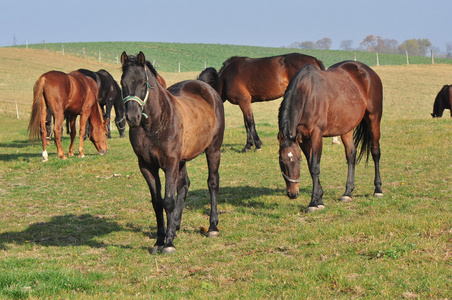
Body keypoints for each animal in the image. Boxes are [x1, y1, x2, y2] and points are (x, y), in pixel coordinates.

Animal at [121, 51, 225, 253]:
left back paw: (212, 227)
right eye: (122, 83)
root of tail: (204, 86)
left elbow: (168, 201)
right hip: (182, 161)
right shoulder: (147, 166)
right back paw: (175, 226)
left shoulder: (170, 163)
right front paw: (160, 240)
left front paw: (168, 243)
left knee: (212, 183)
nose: (132, 117)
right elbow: (157, 202)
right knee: (184, 186)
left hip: (213, 150)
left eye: (143, 83)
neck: (154, 124)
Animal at [278, 61, 384, 213]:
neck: (307, 94)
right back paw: (347, 193)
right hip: (346, 127)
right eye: (281, 160)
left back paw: (378, 189)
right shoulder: (303, 139)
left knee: (375, 152)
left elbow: (315, 167)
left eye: (298, 159)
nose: (293, 193)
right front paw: (319, 199)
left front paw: (313, 203)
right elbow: (311, 166)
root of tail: (369, 72)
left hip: (374, 119)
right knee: (351, 154)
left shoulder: (316, 134)